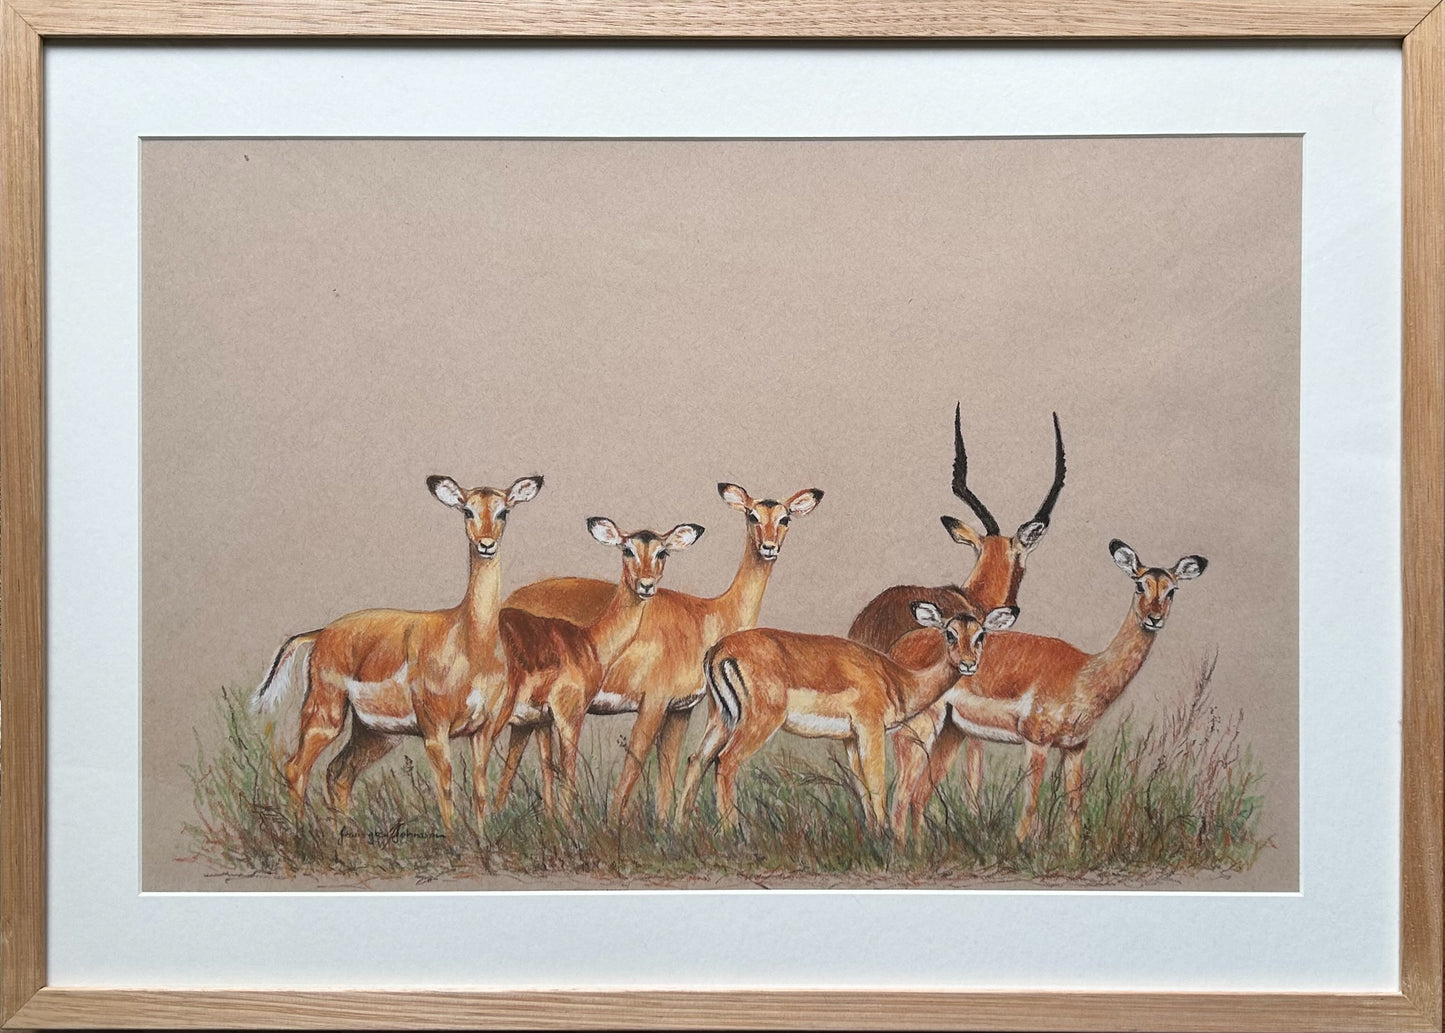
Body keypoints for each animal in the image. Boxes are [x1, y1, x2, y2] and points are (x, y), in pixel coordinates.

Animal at [251, 473, 543, 832]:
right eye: (467, 510)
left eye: (504, 511)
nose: (486, 544)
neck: (471, 641)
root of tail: (321, 633)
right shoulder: (435, 730)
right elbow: (445, 789)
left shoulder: (483, 730)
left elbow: (479, 790)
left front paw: (482, 840)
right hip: (325, 713)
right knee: (297, 768)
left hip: (376, 733)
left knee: (338, 773)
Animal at [677, 601, 1018, 833]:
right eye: (950, 633)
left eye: (980, 635)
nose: (968, 664)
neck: (897, 679)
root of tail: (719, 650)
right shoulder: (871, 729)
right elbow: (878, 782)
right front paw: (886, 839)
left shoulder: (850, 738)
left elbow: (861, 786)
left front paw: (873, 834)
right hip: (759, 721)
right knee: (726, 761)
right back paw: (732, 833)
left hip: (721, 718)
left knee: (697, 759)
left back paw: (679, 829)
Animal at [894, 539, 1208, 849]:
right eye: (1140, 585)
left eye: (1171, 589)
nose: (1154, 618)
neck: (1084, 673)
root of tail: (900, 646)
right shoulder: (1037, 742)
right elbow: (1030, 807)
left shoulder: (1076, 747)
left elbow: (1074, 809)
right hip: (918, 728)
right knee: (900, 793)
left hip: (952, 732)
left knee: (918, 796)